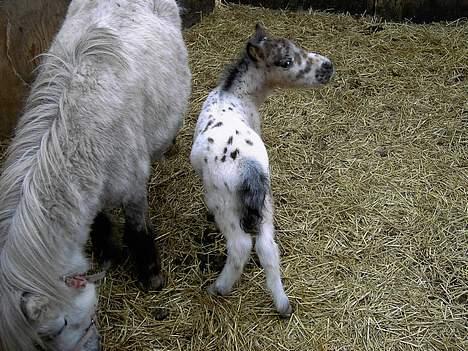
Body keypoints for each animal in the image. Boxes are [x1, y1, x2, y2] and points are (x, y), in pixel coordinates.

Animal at [0, 1, 190, 350]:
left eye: (56, 328)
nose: (91, 349)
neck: (85, 137)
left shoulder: (133, 189)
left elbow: (139, 231)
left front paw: (151, 276)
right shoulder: (91, 194)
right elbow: (100, 223)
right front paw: (109, 254)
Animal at [190, 23, 332, 318]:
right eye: (286, 61)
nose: (328, 66)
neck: (235, 94)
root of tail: (247, 166)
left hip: (224, 203)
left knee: (241, 245)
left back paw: (218, 288)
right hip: (266, 198)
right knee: (267, 247)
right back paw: (282, 304)